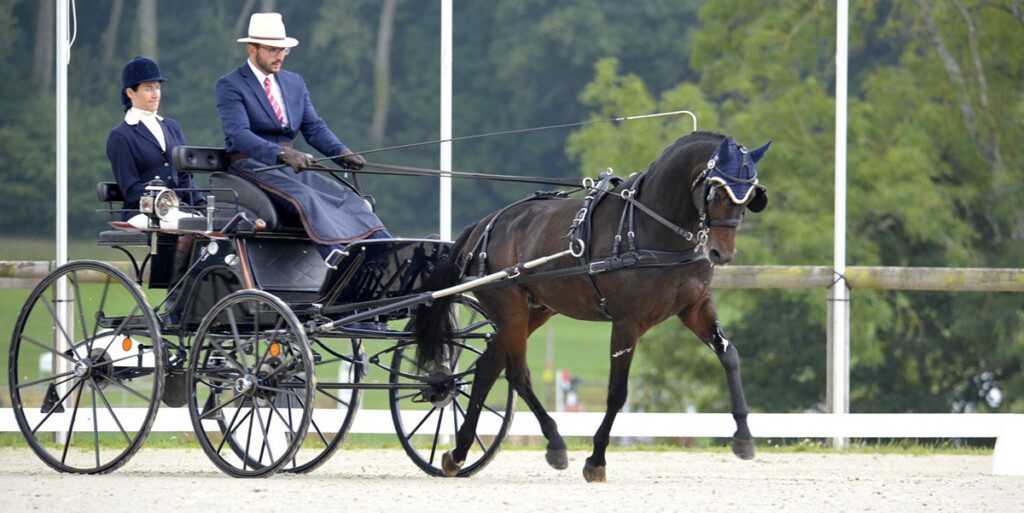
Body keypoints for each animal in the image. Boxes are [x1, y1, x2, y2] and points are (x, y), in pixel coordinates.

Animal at [413, 130, 770, 481]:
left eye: (750, 195)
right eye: (717, 192)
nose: (721, 254)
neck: (648, 226)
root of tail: (485, 223)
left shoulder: (695, 307)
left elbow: (730, 356)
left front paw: (743, 437)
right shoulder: (627, 322)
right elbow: (617, 392)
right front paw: (597, 459)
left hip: (534, 310)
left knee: (488, 367)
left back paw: (458, 453)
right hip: (509, 306)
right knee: (517, 374)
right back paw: (554, 442)